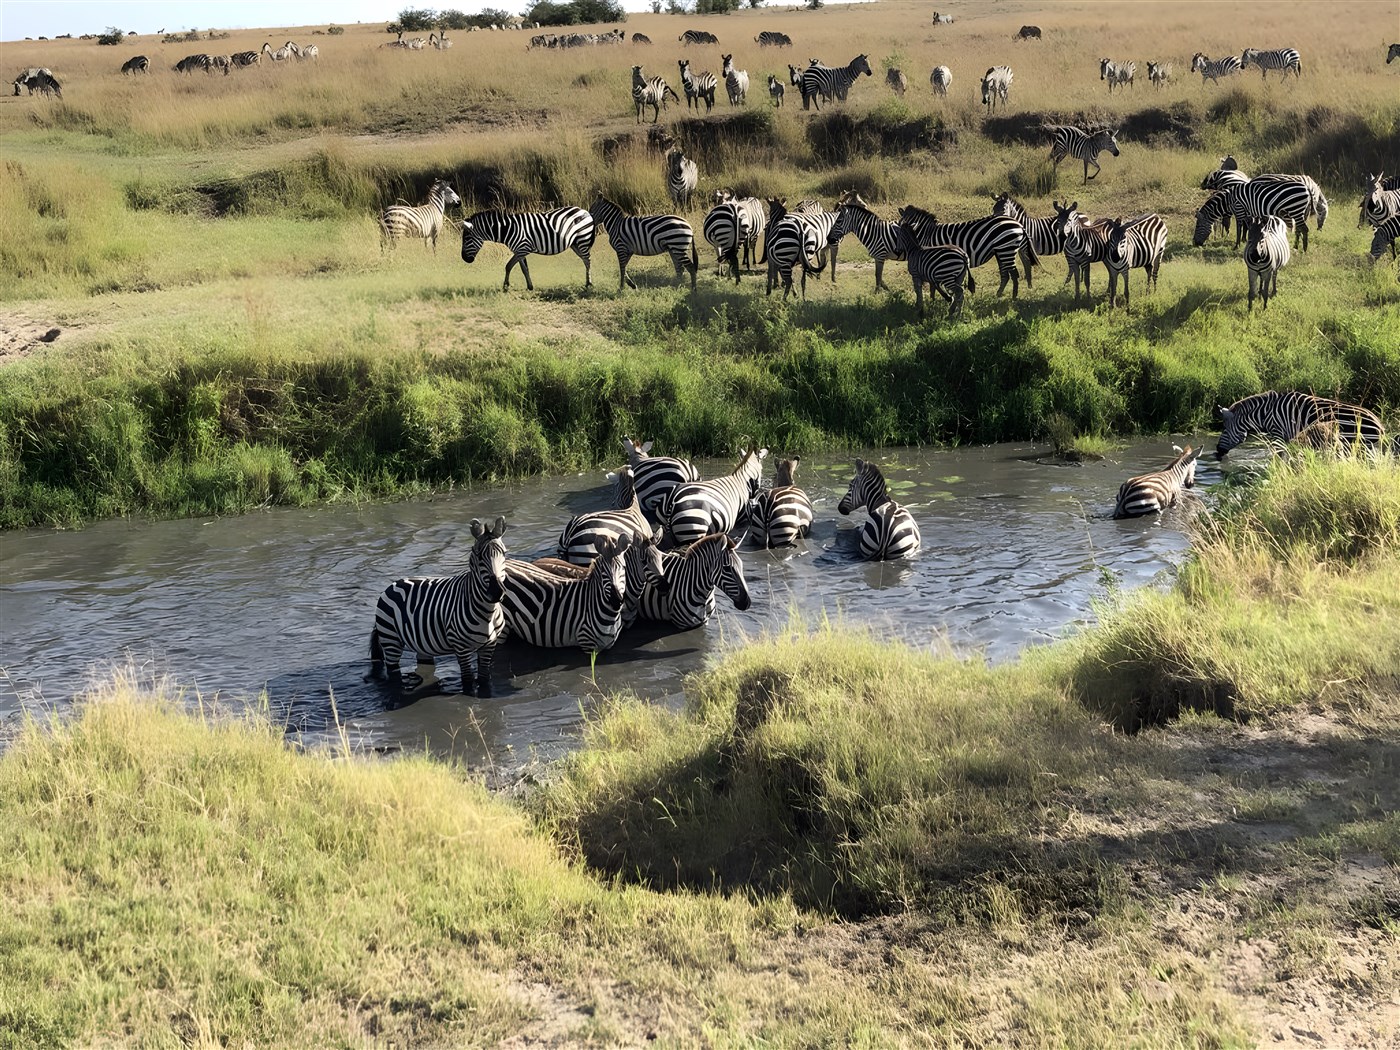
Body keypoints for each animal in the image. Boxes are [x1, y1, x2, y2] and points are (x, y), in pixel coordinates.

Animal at [367, 517, 509, 697]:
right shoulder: (461, 647)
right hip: (391, 640)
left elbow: (484, 681)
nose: (496, 591)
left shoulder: (489, 645)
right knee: (393, 674)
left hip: (421, 644)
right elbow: (468, 681)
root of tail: (392, 585)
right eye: (478, 556)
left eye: (503, 553)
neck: (487, 611)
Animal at [461, 207, 596, 291]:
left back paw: (589, 284)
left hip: (582, 239)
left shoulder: (522, 249)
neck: (509, 229)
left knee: (587, 260)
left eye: (466, 240)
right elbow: (522, 268)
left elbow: (509, 266)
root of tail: (584, 211)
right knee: (585, 260)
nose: (464, 259)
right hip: (575, 244)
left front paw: (506, 286)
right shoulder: (519, 250)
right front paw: (528, 286)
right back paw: (587, 282)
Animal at [897, 204, 1030, 298]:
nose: (898, 251)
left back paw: (1013, 297)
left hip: (1006, 248)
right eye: (898, 225)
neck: (928, 234)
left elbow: (933, 285)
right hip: (1001, 251)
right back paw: (998, 294)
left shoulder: (933, 260)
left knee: (1013, 273)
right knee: (1005, 274)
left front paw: (935, 299)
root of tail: (1018, 223)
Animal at [1217, 391, 1386, 459]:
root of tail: (1379, 425)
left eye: (1224, 429)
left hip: (1356, 444)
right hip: (1364, 447)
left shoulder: (1277, 433)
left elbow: (1279, 456)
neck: (1266, 413)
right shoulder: (1286, 437)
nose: (1217, 452)